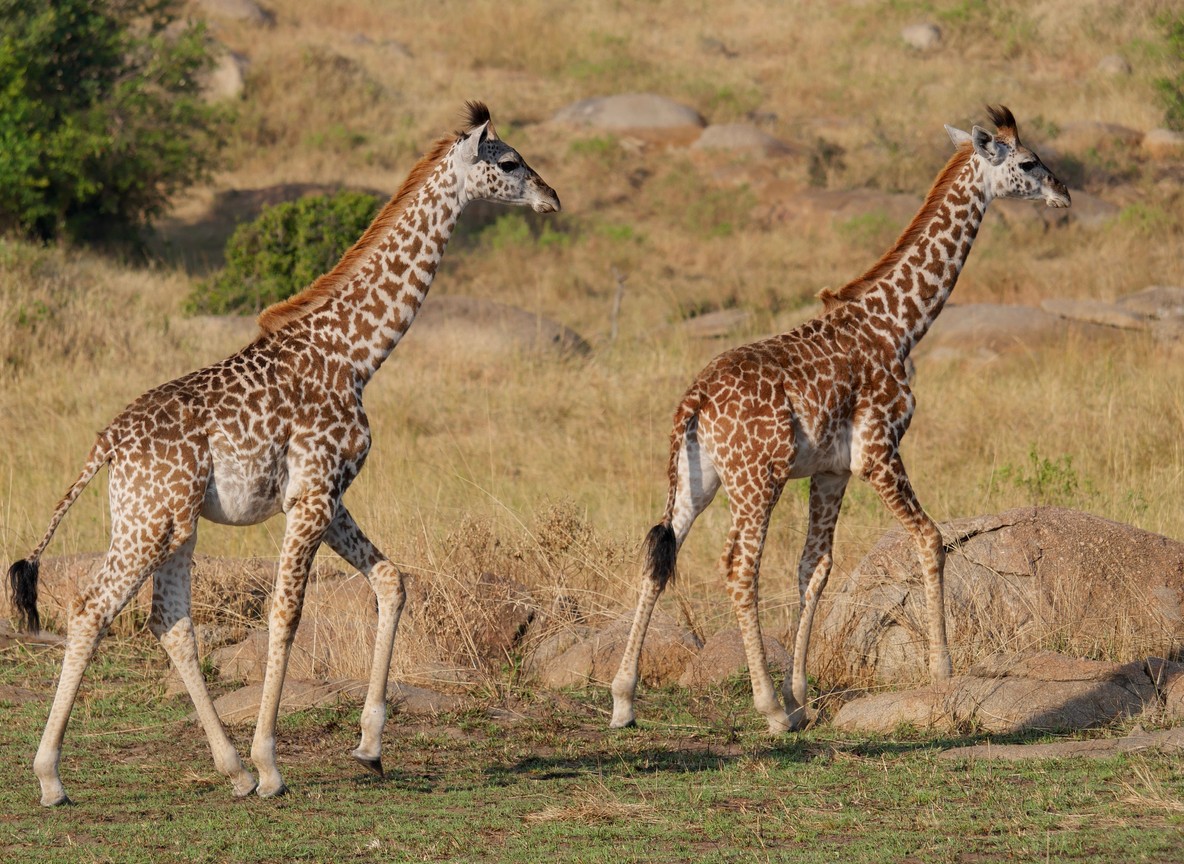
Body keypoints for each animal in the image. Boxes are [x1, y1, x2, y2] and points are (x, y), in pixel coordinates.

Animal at [6, 102, 559, 806]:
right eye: (509, 161)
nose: (552, 198)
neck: (354, 356)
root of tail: (106, 443)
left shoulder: (325, 493)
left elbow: (391, 580)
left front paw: (368, 747)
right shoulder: (315, 493)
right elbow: (286, 612)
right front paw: (272, 762)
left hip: (171, 523)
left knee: (170, 621)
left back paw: (231, 771)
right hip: (149, 521)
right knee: (91, 609)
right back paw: (53, 777)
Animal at [610, 106, 1070, 733]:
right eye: (1027, 161)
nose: (1063, 193)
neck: (898, 324)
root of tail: (694, 401)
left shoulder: (831, 471)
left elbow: (815, 568)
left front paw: (801, 696)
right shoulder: (879, 451)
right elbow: (931, 538)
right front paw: (941, 671)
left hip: (696, 481)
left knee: (659, 557)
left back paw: (623, 699)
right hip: (757, 480)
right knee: (738, 567)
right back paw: (765, 709)